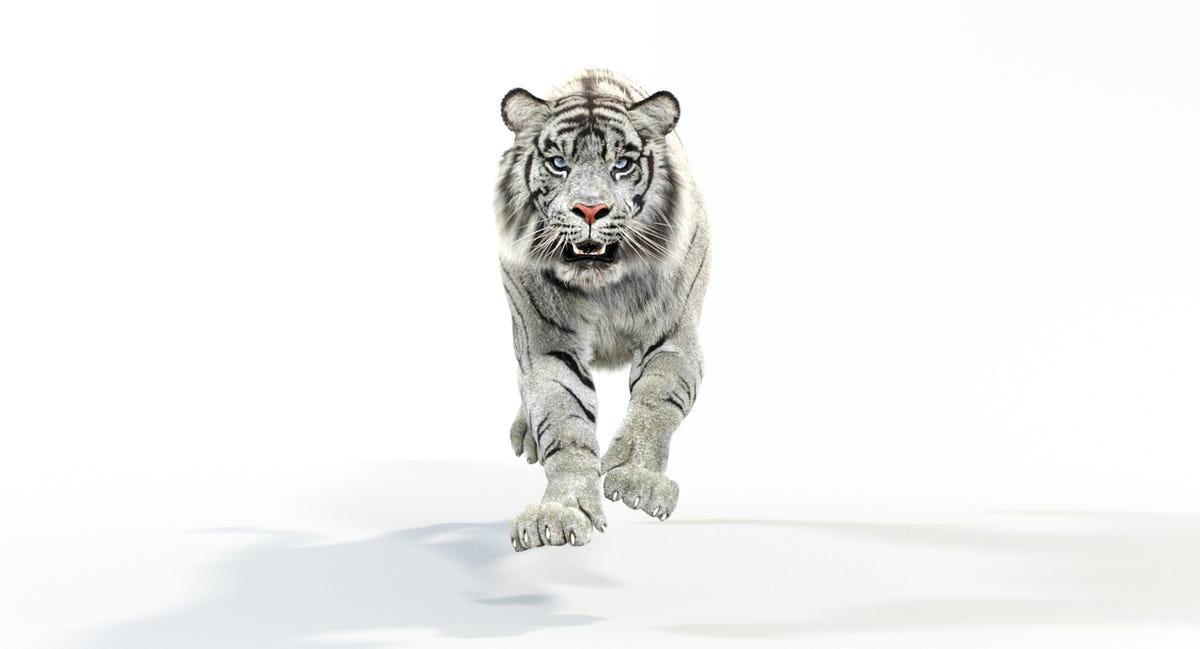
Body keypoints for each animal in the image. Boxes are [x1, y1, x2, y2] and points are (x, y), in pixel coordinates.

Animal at [495, 69, 710, 551]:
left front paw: (635, 480)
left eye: (622, 165)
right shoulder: (548, 347)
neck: (604, 288)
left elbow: (654, 404)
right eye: (559, 163)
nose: (590, 209)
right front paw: (560, 512)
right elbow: (564, 420)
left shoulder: (672, 340)